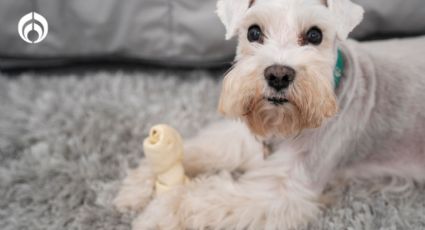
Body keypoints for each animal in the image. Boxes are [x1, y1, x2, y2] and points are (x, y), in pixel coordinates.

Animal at [113, 0, 424, 228]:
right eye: (253, 32)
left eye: (315, 35)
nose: (278, 75)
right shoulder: (242, 140)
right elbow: (200, 150)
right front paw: (137, 185)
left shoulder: (280, 191)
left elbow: (195, 198)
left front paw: (155, 214)